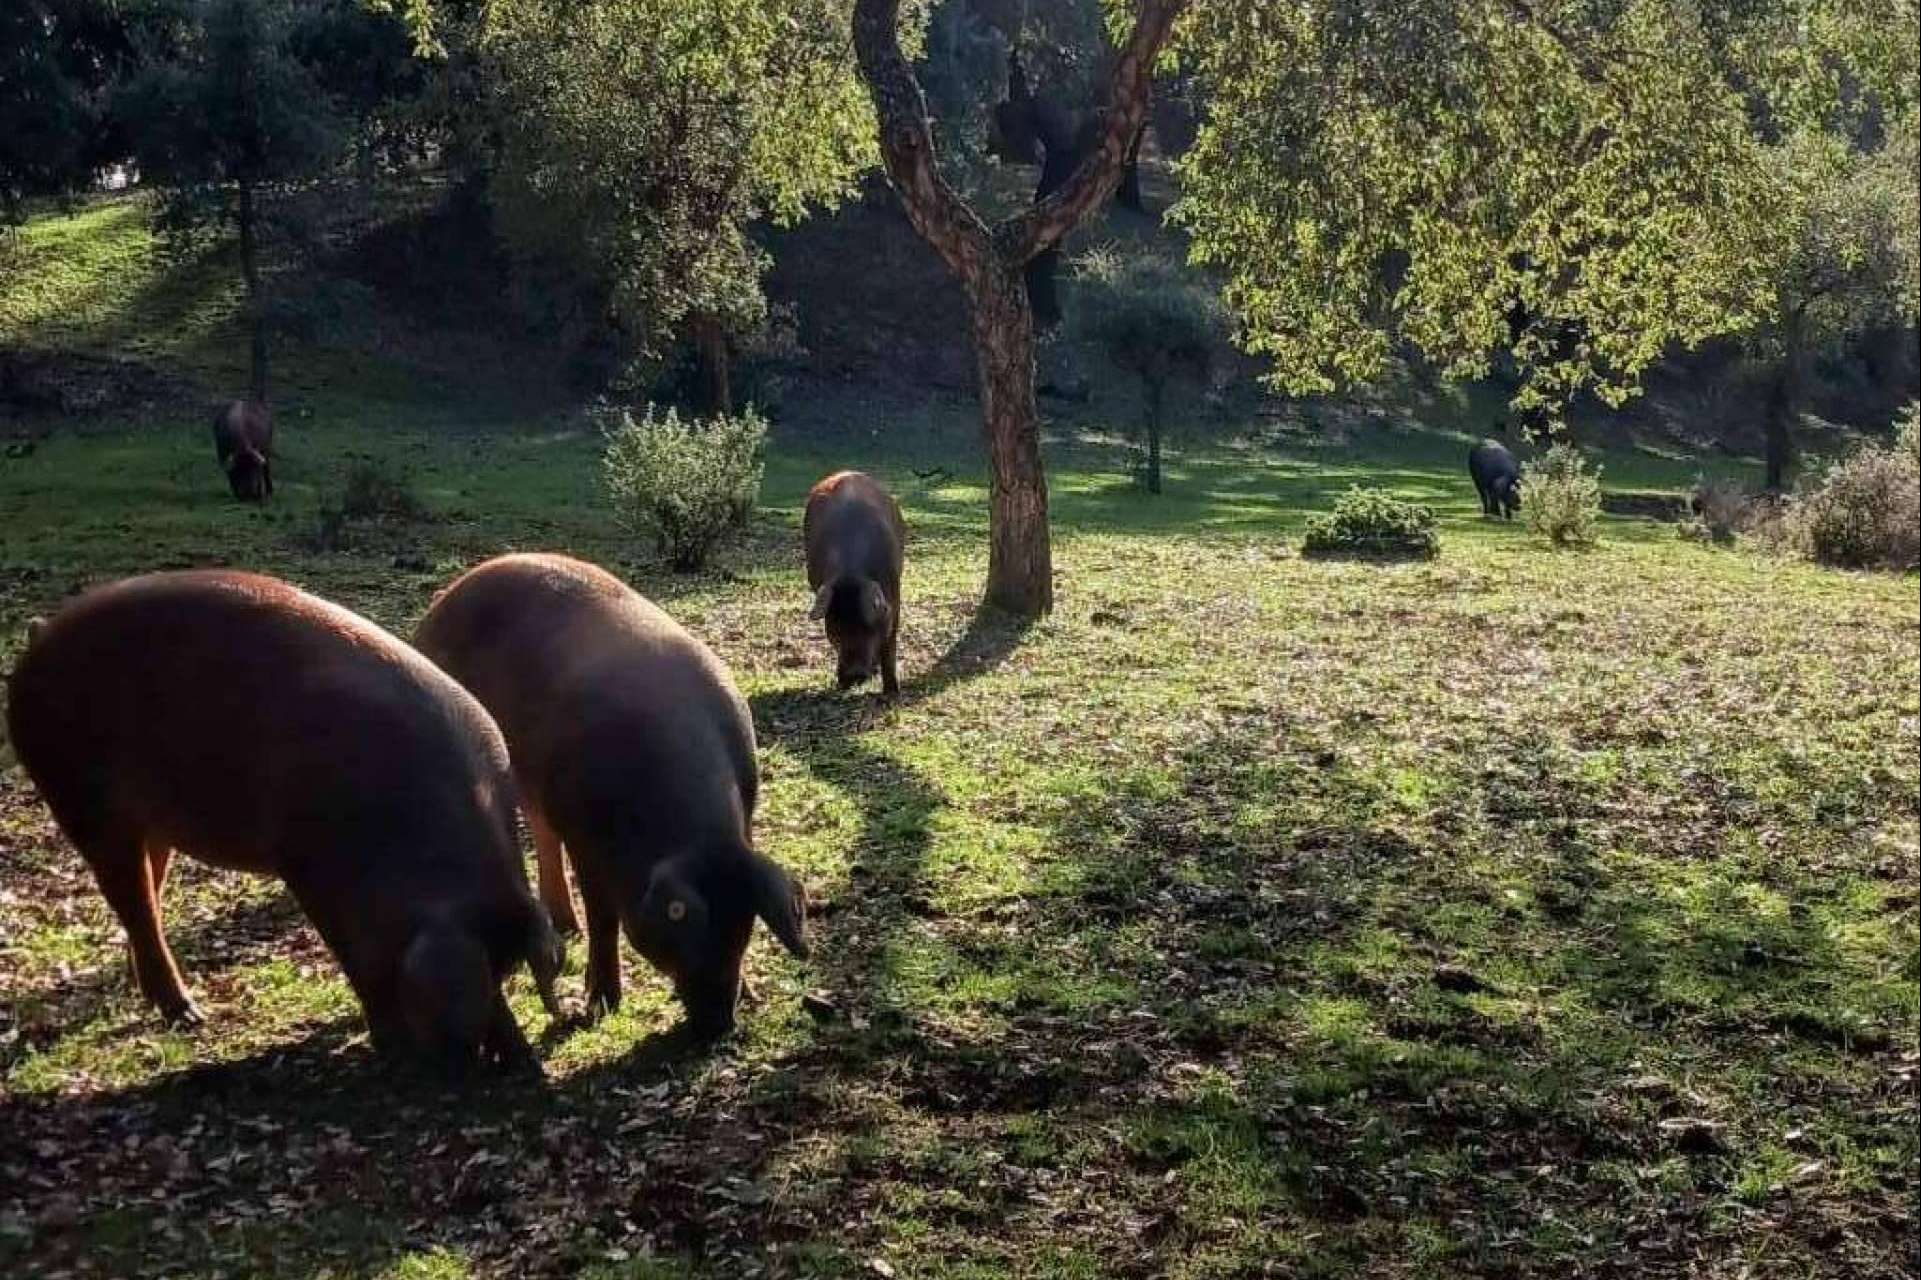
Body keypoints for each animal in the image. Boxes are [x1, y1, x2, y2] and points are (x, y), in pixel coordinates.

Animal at [5, 570, 563, 1072]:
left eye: (505, 971)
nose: (481, 1062)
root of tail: (39, 636)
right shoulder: (306, 865)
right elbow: (355, 957)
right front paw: (392, 1044)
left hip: (147, 823)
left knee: (147, 900)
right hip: (79, 798)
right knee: (132, 900)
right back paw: (189, 1015)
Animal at [413, 553, 809, 1038]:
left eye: (744, 926)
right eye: (686, 932)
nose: (719, 1024)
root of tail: (442, 601)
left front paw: (751, 993)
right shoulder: (586, 837)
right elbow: (604, 918)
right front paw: (597, 1007)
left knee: (541, 829)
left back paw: (566, 927)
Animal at [803, 471, 905, 696]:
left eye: (869, 625)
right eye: (835, 626)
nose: (854, 675)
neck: (851, 574)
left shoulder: (895, 597)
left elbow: (890, 644)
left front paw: (892, 692)